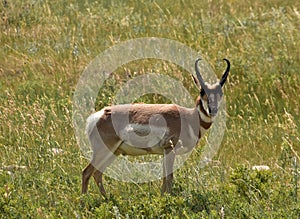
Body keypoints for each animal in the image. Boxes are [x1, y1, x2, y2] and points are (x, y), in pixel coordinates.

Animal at [81, 57, 231, 195]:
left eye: (220, 93)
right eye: (202, 92)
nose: (212, 110)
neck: (189, 117)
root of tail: (99, 115)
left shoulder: (165, 152)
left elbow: (165, 178)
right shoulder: (170, 149)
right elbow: (169, 177)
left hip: (114, 152)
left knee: (97, 173)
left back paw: (106, 199)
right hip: (104, 150)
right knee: (86, 172)